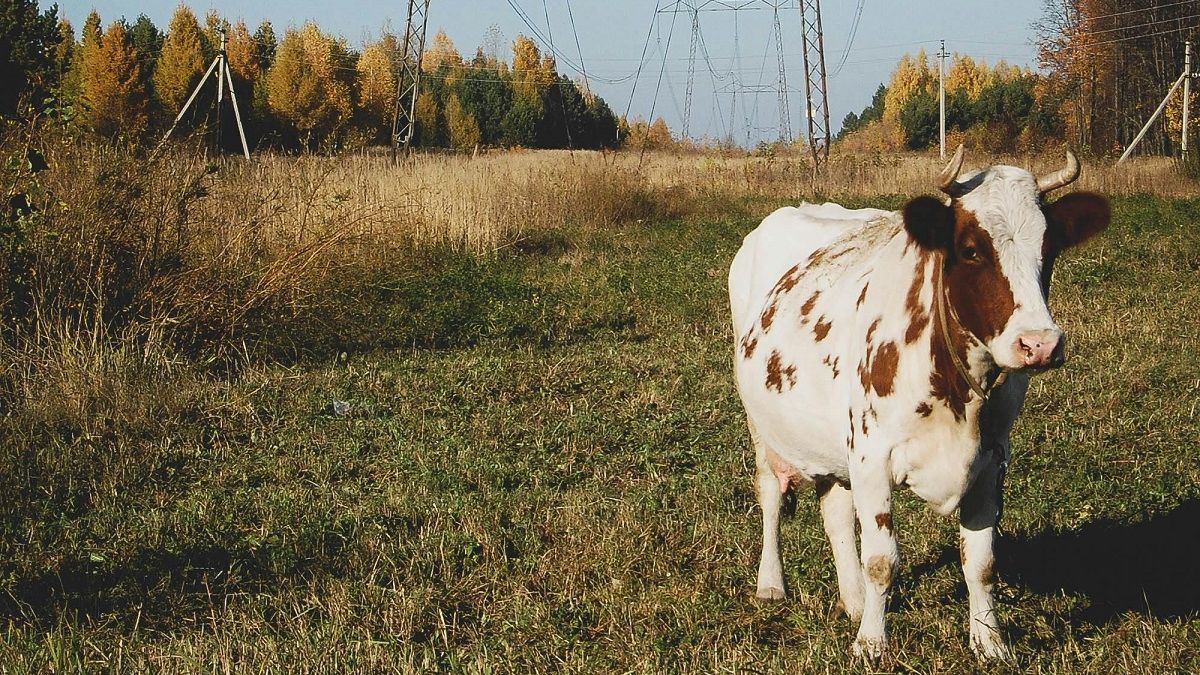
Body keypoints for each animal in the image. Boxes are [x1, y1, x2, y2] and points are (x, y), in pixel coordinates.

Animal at [728, 146, 1110, 660]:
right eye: (970, 249)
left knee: (834, 511)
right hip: (762, 424)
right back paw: (772, 584)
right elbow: (881, 559)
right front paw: (871, 642)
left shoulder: (992, 460)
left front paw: (989, 641)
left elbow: (981, 562)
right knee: (770, 493)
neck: (959, 399)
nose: (1040, 344)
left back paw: (852, 600)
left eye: (1048, 251)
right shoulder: (872, 455)